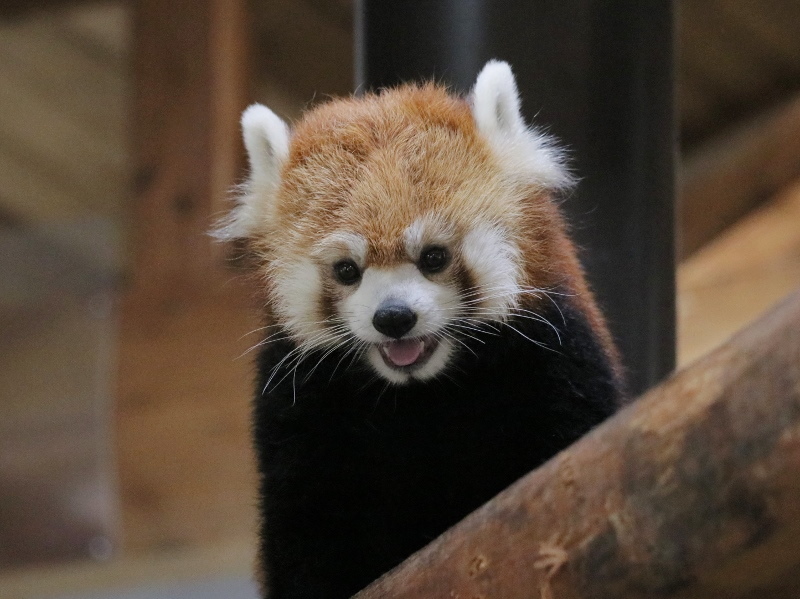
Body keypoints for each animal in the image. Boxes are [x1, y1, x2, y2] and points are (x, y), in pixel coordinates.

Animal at [219, 61, 624, 599]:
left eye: (433, 256)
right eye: (347, 270)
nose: (393, 318)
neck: (419, 395)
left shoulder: (558, 358)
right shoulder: (299, 415)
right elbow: (306, 528)